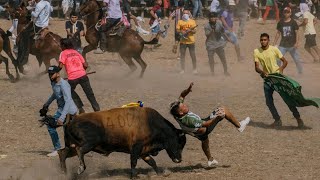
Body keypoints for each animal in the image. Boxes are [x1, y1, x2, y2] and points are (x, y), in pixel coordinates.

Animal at [58, 107, 186, 179]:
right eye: (179, 142)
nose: (179, 160)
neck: (150, 123)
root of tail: (72, 120)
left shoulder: (144, 151)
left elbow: (152, 162)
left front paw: (160, 174)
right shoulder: (136, 148)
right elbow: (133, 162)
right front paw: (134, 176)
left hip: (72, 147)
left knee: (62, 153)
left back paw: (64, 173)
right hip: (89, 144)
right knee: (80, 151)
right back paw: (80, 168)